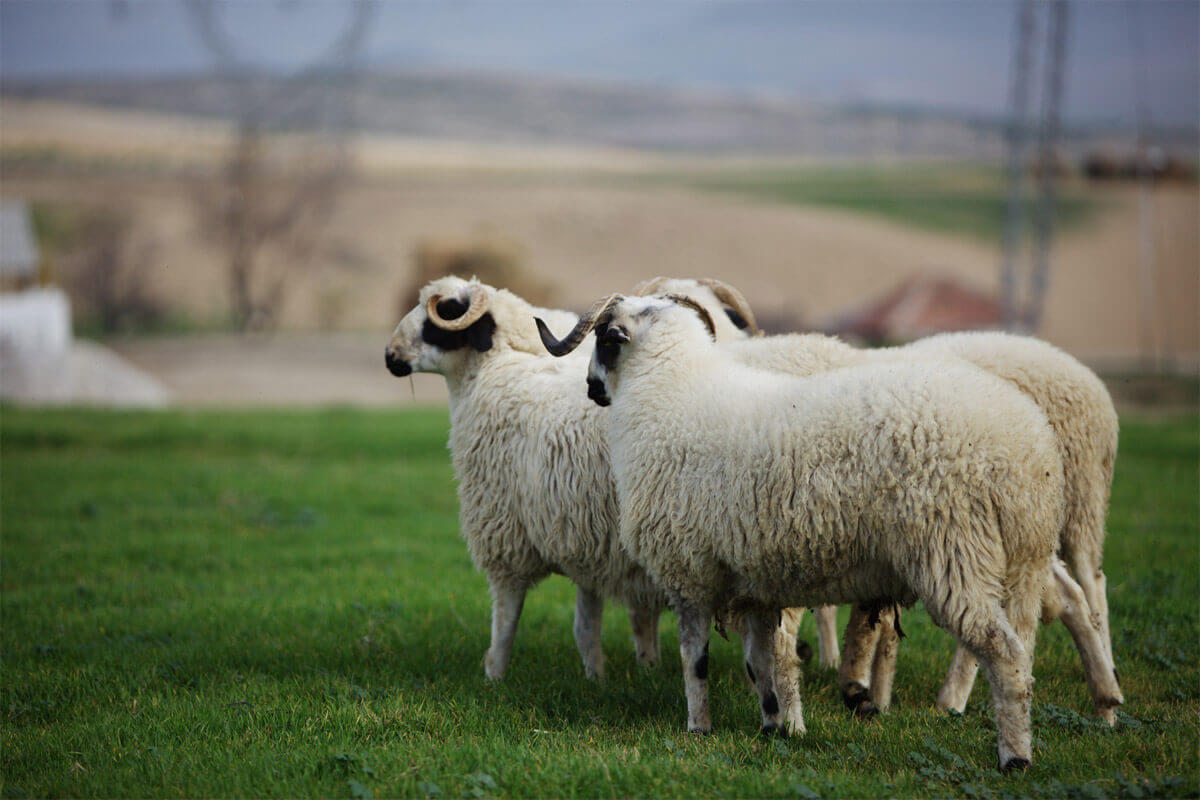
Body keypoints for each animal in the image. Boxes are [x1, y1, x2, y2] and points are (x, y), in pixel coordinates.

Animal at [540, 292, 1065, 767]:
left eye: (604, 339)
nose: (591, 389)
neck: (668, 393)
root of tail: (1026, 447)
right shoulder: (750, 580)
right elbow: (760, 663)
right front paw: (773, 726)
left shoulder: (689, 571)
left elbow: (697, 660)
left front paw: (698, 727)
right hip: (1024, 562)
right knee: (1024, 654)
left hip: (954, 551)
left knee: (1004, 655)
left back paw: (1015, 758)